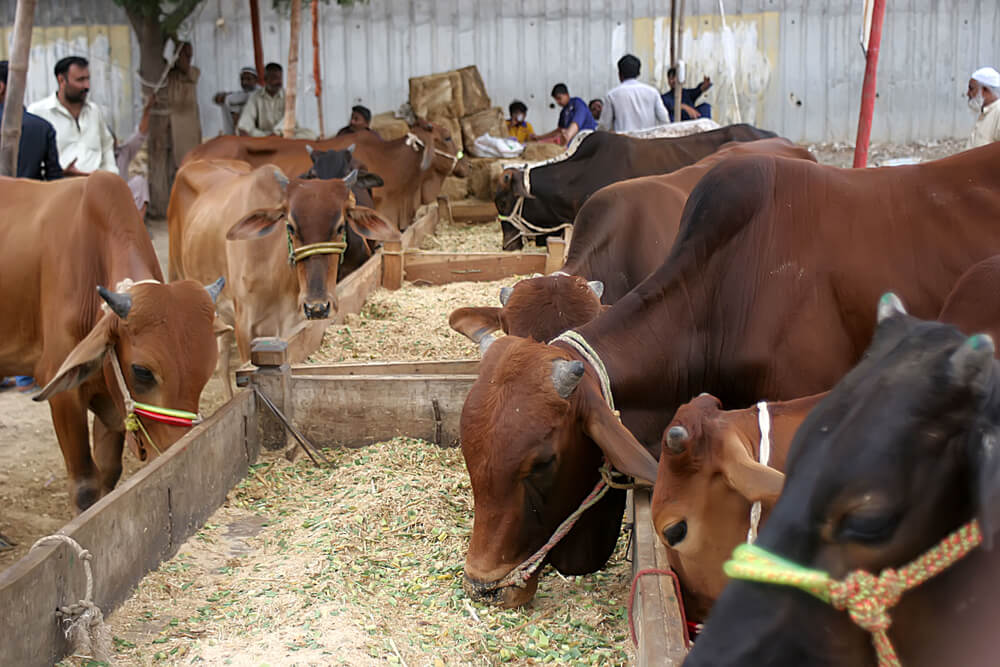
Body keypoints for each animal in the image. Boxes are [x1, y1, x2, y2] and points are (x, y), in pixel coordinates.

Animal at [0, 172, 225, 512]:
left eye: (206, 372)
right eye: (142, 371)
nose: (177, 453)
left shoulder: (110, 401)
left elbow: (108, 475)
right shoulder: (64, 396)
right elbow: (85, 486)